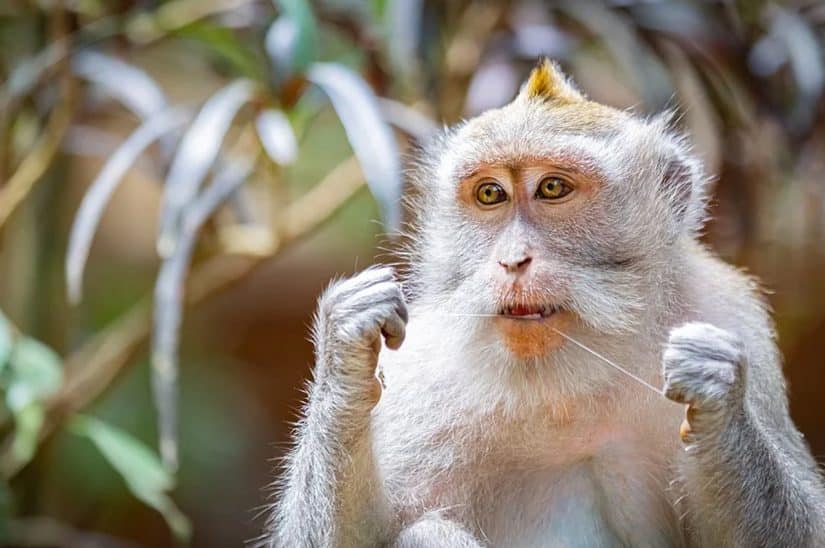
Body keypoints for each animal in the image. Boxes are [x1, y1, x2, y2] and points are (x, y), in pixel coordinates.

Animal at [264, 57, 824, 544]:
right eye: (491, 194)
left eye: (553, 187)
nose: (513, 260)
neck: (563, 385)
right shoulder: (421, 367)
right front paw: (346, 347)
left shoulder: (731, 316)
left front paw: (717, 391)